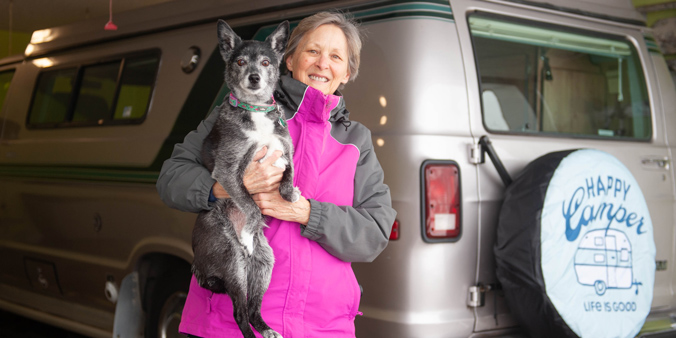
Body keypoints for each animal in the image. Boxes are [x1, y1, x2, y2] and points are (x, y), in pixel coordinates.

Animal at [190, 20, 296, 338]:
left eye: (266, 62)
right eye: (239, 62)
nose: (254, 78)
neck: (256, 110)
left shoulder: (284, 148)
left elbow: (290, 169)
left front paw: (289, 193)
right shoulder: (227, 171)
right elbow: (250, 204)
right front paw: (250, 224)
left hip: (264, 263)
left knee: (251, 307)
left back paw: (266, 328)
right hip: (231, 259)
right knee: (238, 313)